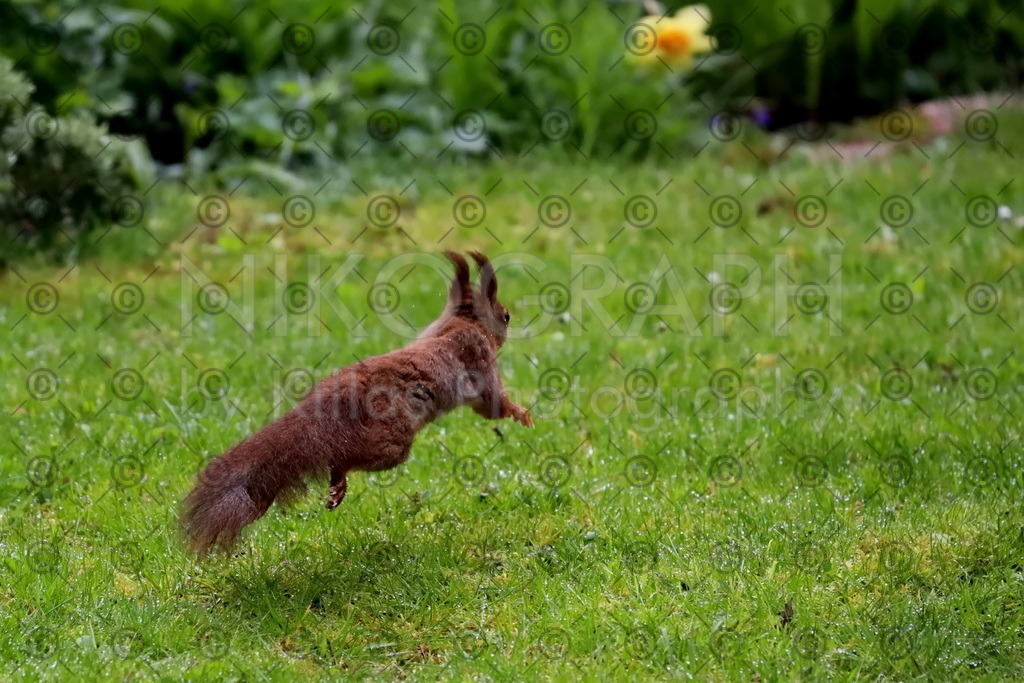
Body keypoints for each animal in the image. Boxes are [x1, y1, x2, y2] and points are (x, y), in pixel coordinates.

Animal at [180, 251, 534, 554]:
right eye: (506, 315)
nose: (510, 325)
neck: (458, 324)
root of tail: (331, 403)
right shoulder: (480, 357)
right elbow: (493, 404)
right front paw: (522, 413)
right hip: (391, 445)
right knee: (349, 455)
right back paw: (340, 475)